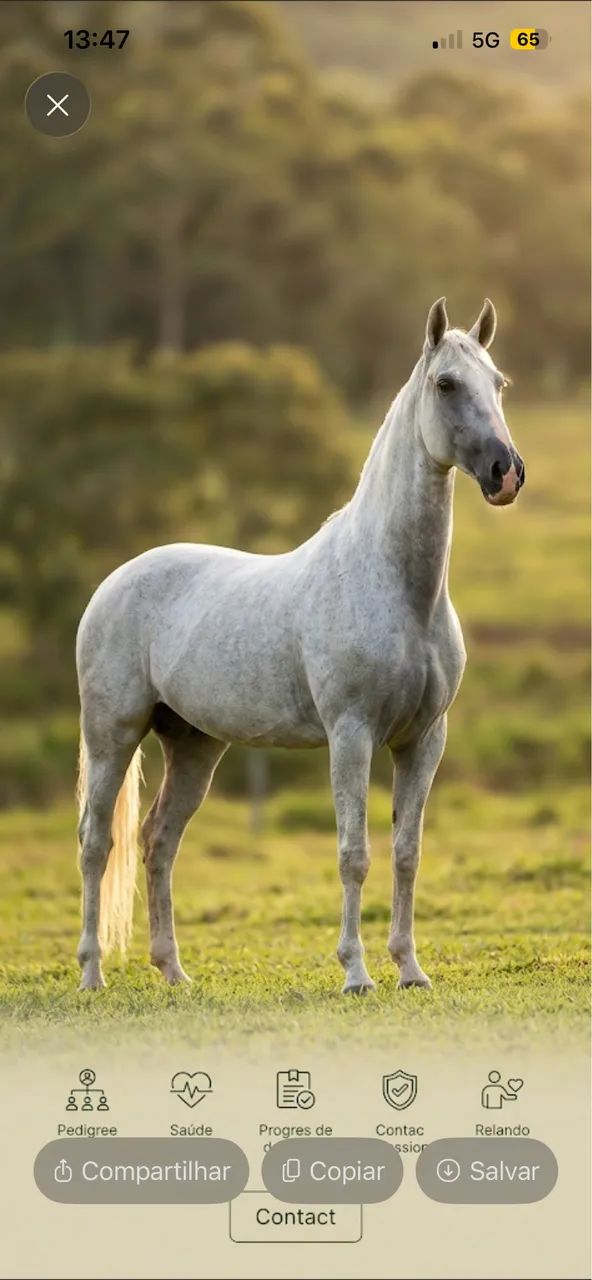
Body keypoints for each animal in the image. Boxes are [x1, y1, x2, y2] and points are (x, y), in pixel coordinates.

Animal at [76, 297, 525, 995]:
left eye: (498, 383)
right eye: (447, 384)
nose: (507, 473)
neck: (399, 589)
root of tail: (115, 581)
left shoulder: (424, 740)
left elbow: (406, 852)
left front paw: (410, 970)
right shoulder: (352, 734)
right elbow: (353, 853)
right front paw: (357, 974)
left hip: (193, 746)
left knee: (158, 840)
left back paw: (174, 972)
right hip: (112, 735)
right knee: (98, 843)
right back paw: (93, 974)